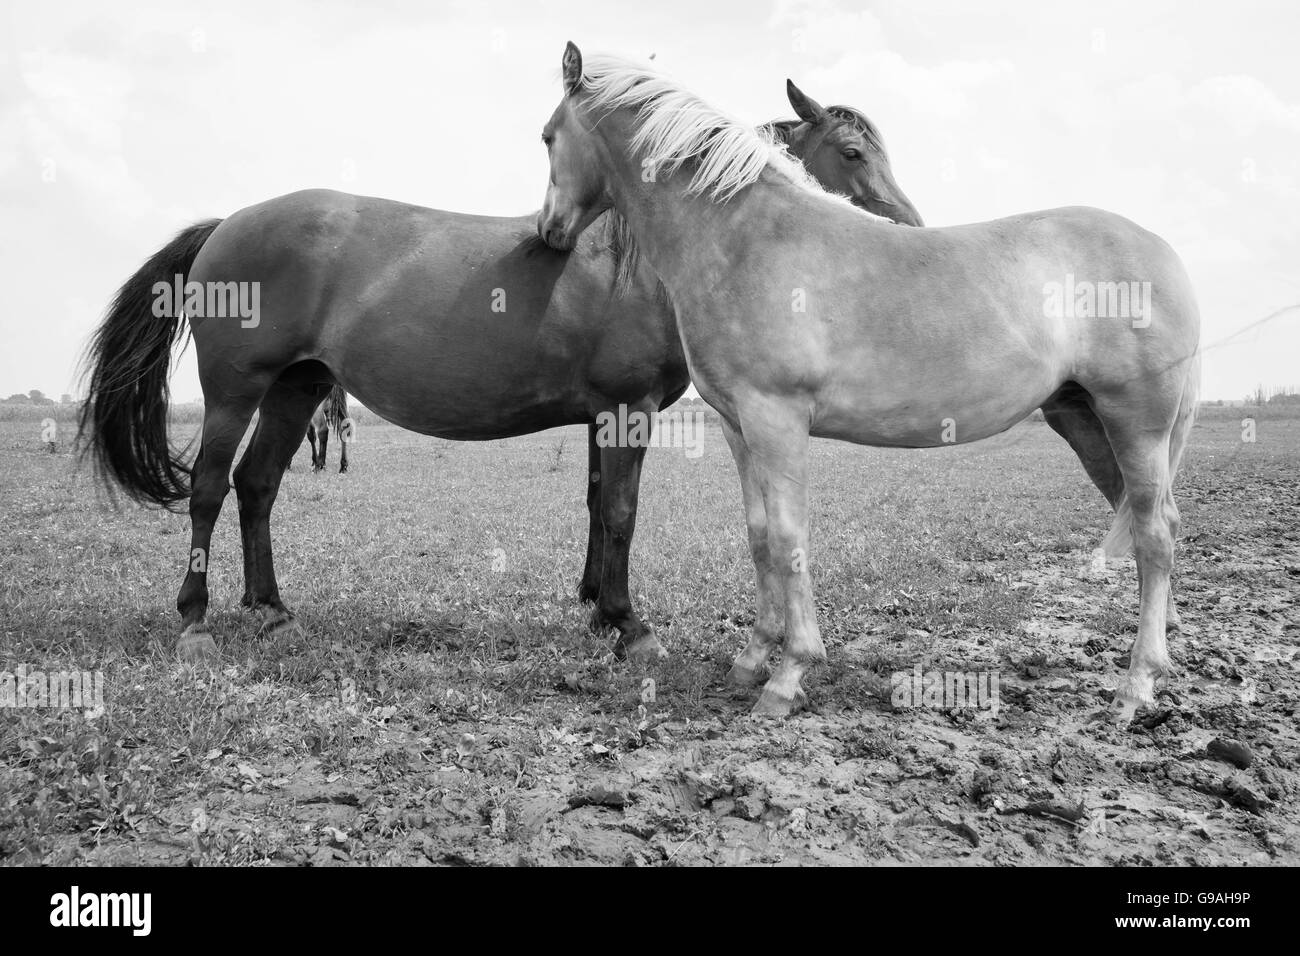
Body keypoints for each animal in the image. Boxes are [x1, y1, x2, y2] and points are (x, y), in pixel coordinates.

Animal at [77, 82, 921, 665]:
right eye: (852, 153)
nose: (910, 228)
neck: (642, 257)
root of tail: (228, 223)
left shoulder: (603, 414)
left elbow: (597, 506)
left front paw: (596, 605)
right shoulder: (629, 408)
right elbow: (622, 511)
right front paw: (630, 624)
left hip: (299, 387)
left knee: (258, 485)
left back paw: (270, 607)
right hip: (237, 391)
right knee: (210, 489)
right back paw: (195, 618)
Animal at [537, 44, 1201, 720]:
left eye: (547, 138)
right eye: (852, 153)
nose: (550, 230)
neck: (746, 237)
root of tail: (1162, 251)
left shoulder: (776, 418)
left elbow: (789, 535)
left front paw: (789, 674)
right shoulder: (737, 425)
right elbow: (759, 536)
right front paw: (752, 659)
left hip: (1136, 422)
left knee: (1155, 534)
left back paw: (1137, 683)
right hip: (1085, 419)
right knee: (1145, 521)